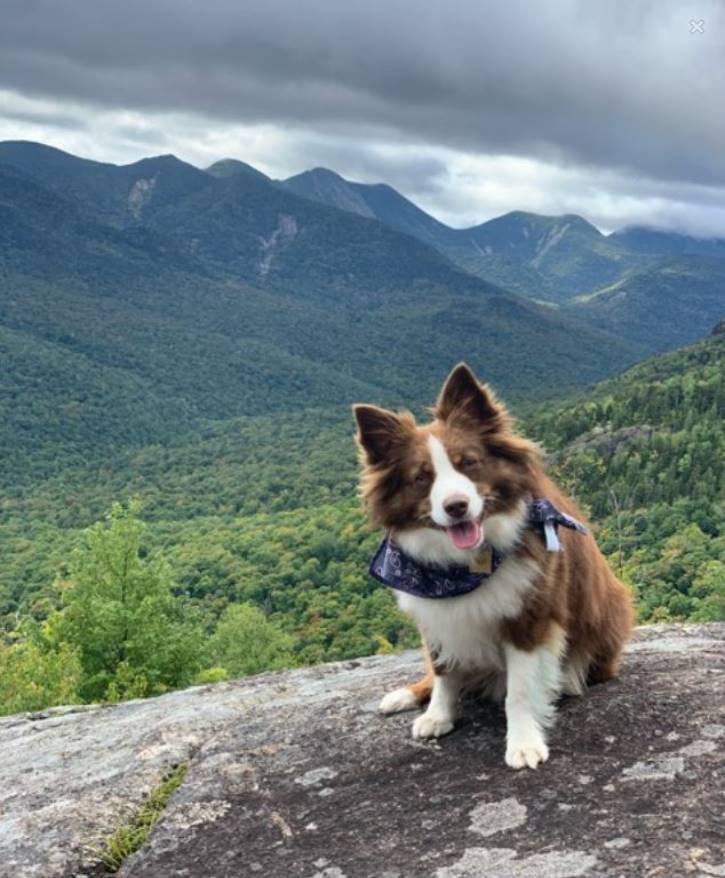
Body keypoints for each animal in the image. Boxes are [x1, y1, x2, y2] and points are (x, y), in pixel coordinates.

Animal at [354, 362, 632, 768]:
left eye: (469, 463)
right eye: (421, 477)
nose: (456, 506)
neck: (464, 567)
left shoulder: (529, 618)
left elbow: (519, 690)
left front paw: (523, 742)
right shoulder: (435, 615)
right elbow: (442, 670)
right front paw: (439, 715)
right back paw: (406, 694)